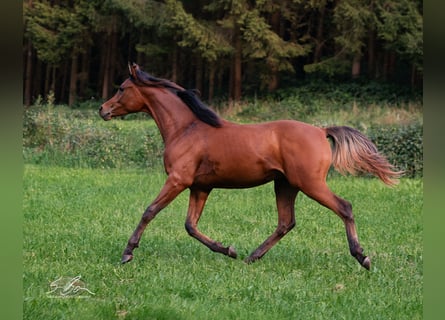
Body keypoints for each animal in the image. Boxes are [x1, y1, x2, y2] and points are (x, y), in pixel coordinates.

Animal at [99, 62, 400, 270]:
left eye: (121, 88)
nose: (103, 109)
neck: (187, 128)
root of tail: (321, 130)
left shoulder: (178, 180)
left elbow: (150, 211)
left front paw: (127, 253)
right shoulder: (200, 187)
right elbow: (190, 225)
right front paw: (228, 250)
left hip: (310, 183)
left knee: (344, 207)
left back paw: (362, 257)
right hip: (285, 185)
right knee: (286, 222)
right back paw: (251, 257)